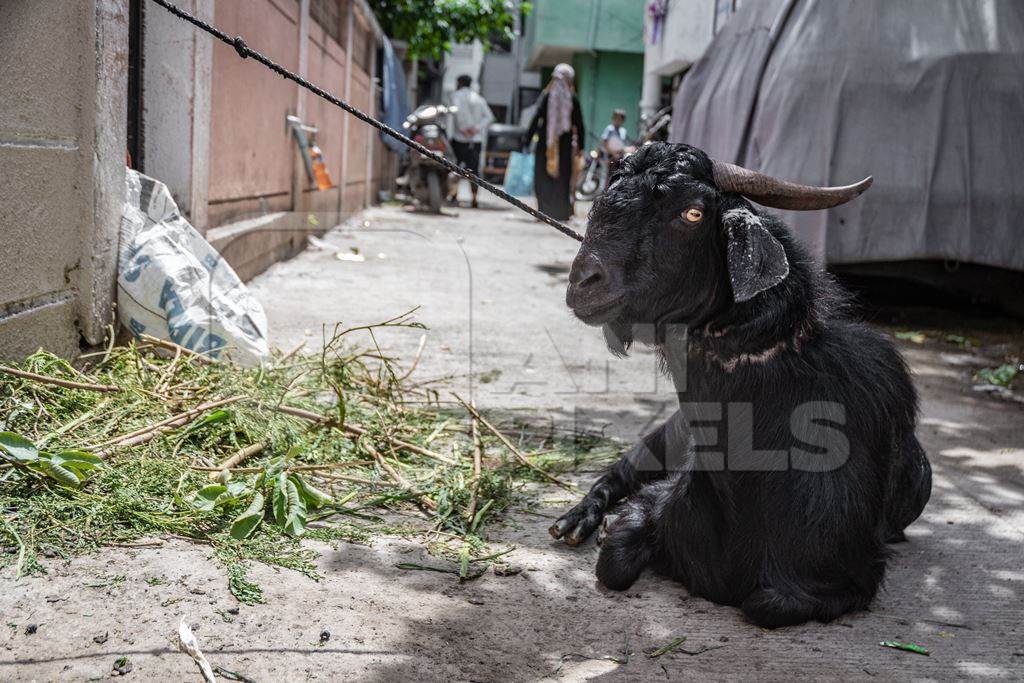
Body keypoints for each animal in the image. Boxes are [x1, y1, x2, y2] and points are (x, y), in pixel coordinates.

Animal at [557, 141, 933, 626]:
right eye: (607, 192)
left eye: (693, 213)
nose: (583, 282)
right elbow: (614, 564)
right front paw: (605, 531)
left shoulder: (847, 576)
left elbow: (765, 604)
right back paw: (578, 520)